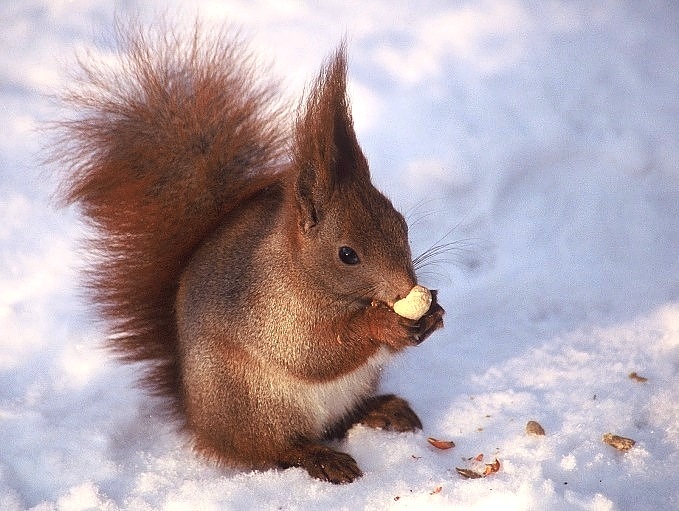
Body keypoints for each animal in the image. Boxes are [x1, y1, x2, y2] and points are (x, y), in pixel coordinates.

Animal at [53, 21, 446, 484]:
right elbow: (312, 353)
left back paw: (383, 409)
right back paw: (321, 458)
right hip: (255, 403)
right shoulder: (271, 311)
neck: (302, 273)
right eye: (347, 254)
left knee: (340, 421)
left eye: (402, 225)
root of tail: (201, 423)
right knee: (276, 448)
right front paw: (382, 323)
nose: (405, 286)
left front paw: (432, 313)